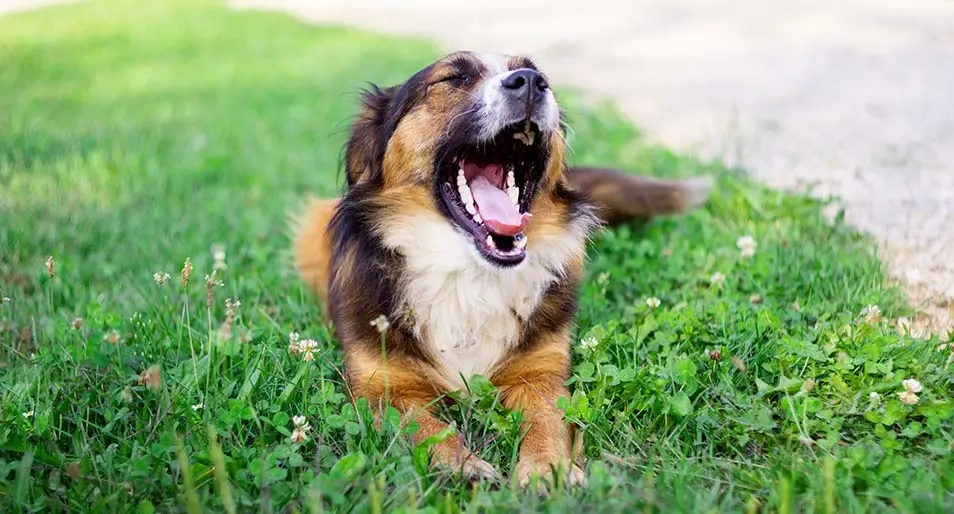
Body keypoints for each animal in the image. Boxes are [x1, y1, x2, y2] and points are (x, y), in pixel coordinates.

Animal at [292, 51, 708, 484]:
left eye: (538, 72)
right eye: (454, 78)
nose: (531, 82)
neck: (467, 275)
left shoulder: (542, 373)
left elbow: (547, 420)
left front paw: (547, 468)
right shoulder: (382, 387)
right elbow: (423, 426)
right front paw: (461, 464)